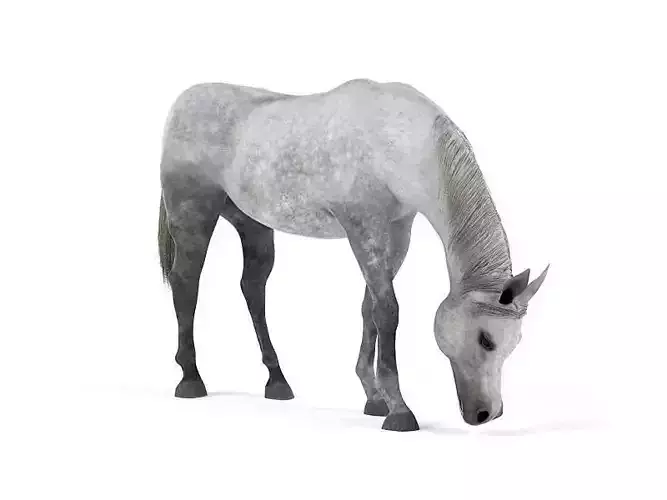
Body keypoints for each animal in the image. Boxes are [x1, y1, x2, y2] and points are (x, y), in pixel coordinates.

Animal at [157, 78, 549, 432]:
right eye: (485, 339)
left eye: (515, 342)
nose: (487, 414)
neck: (395, 141)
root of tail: (181, 101)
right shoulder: (363, 227)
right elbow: (387, 311)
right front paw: (399, 410)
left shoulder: (398, 230)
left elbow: (369, 308)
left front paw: (374, 398)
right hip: (193, 213)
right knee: (186, 283)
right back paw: (190, 379)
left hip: (252, 225)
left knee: (252, 288)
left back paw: (277, 382)